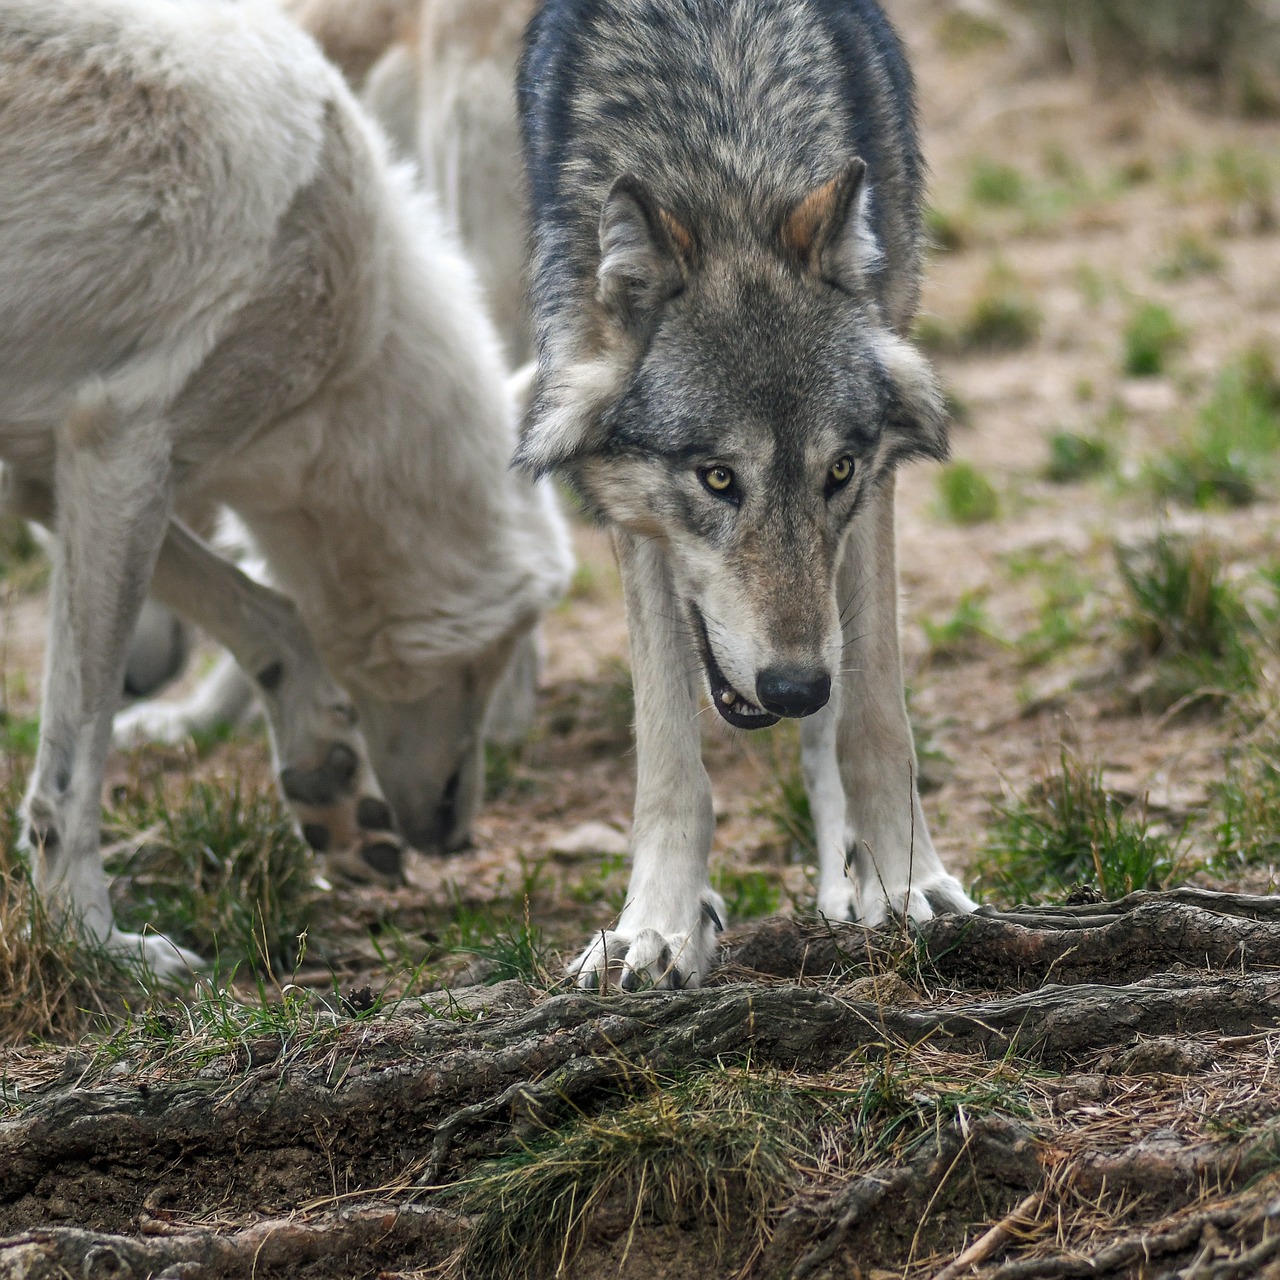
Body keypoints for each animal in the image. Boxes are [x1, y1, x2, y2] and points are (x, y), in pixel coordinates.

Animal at [0, 0, 570, 967]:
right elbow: (72, 772)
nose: (457, 837)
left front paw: (328, 787)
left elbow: (274, 616)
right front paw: (92, 942)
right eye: (501, 644)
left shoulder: (58, 472)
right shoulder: (123, 454)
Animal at [517, 0, 967, 988]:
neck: (724, 152)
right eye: (717, 477)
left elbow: (873, 721)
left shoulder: (876, 487)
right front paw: (657, 925)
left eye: (836, 471)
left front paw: (903, 878)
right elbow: (668, 761)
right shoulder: (634, 517)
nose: (793, 686)